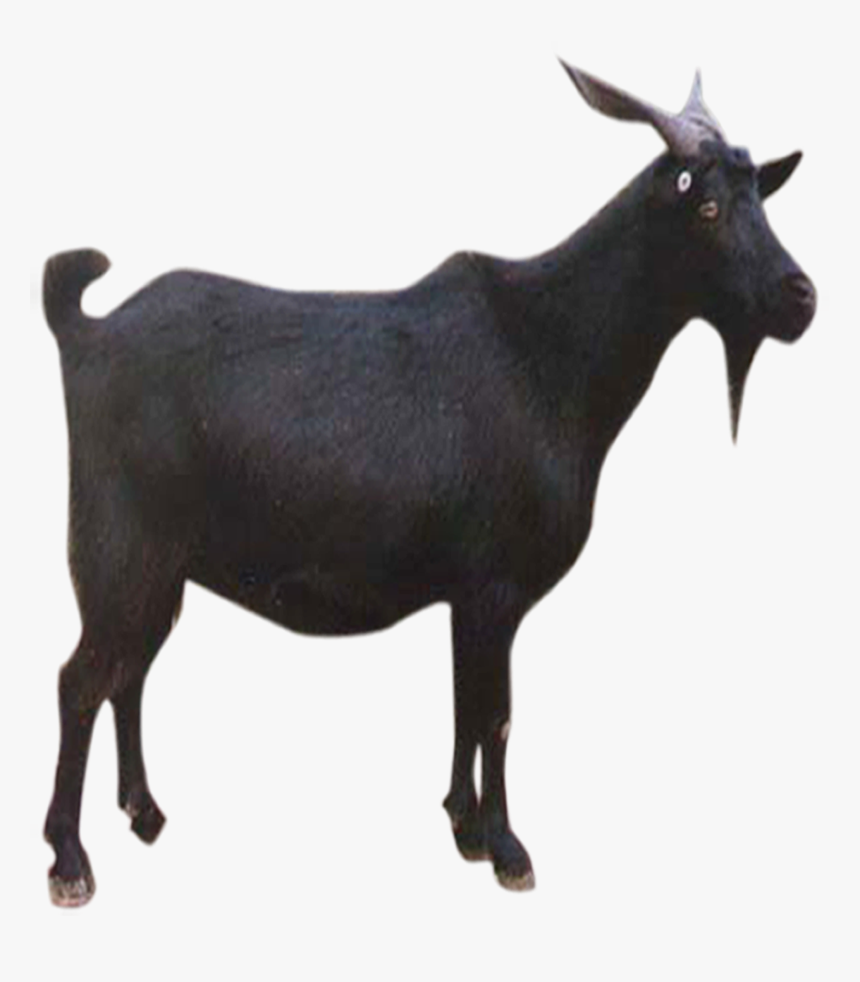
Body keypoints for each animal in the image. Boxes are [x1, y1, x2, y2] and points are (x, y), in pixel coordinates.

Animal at [42, 64, 815, 906]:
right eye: (706, 206)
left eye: (761, 199)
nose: (800, 297)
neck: (551, 352)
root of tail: (84, 332)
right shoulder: (496, 585)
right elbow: (497, 714)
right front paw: (508, 849)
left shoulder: (465, 593)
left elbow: (464, 705)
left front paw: (464, 827)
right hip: (119, 554)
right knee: (81, 681)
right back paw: (70, 860)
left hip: (159, 571)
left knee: (128, 675)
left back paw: (144, 812)